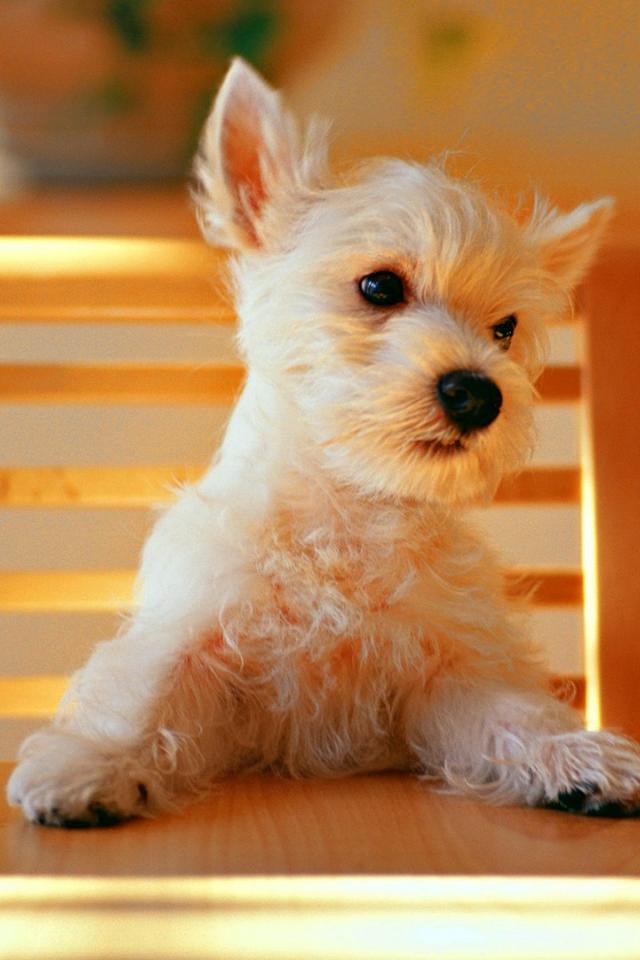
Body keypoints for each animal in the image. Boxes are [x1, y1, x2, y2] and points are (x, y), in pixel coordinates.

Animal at [8, 58, 640, 826]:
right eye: (380, 286)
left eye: (505, 329)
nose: (480, 394)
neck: (348, 513)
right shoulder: (199, 633)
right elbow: (144, 693)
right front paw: (89, 765)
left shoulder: (448, 674)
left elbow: (513, 715)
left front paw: (576, 758)